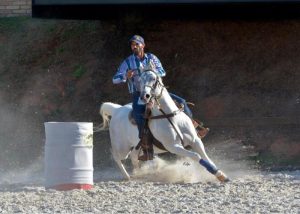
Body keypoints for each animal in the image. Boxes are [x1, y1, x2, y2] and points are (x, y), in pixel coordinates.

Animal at [99, 70, 229, 182]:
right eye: (140, 80)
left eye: (154, 79)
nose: (144, 96)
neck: (170, 116)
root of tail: (116, 110)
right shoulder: (173, 147)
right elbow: (196, 156)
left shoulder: (195, 140)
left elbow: (205, 156)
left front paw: (221, 174)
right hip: (122, 148)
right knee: (117, 157)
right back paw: (127, 176)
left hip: (135, 146)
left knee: (134, 157)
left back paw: (139, 173)